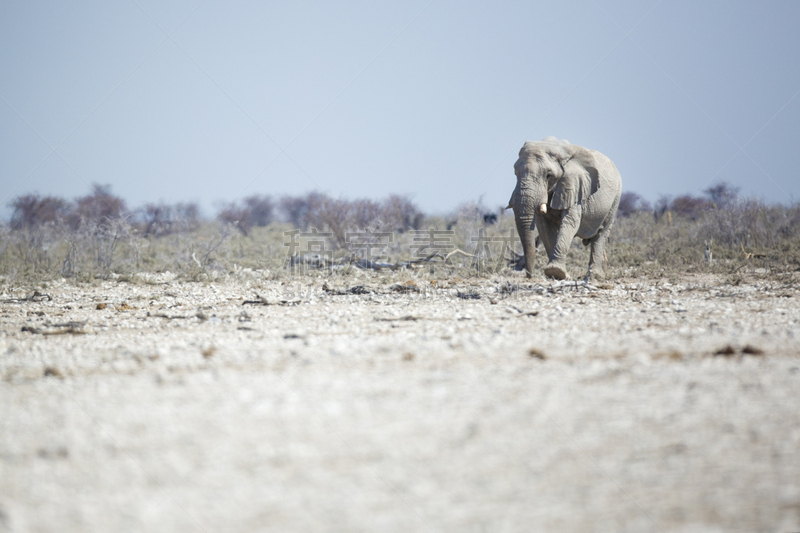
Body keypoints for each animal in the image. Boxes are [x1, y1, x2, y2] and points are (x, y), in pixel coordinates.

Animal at [510, 135, 620, 280]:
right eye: (515, 173)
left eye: (548, 175)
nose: (529, 276)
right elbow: (544, 227)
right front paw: (557, 274)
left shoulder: (575, 186)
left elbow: (570, 221)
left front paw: (556, 272)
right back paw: (601, 273)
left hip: (616, 198)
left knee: (601, 233)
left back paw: (595, 276)